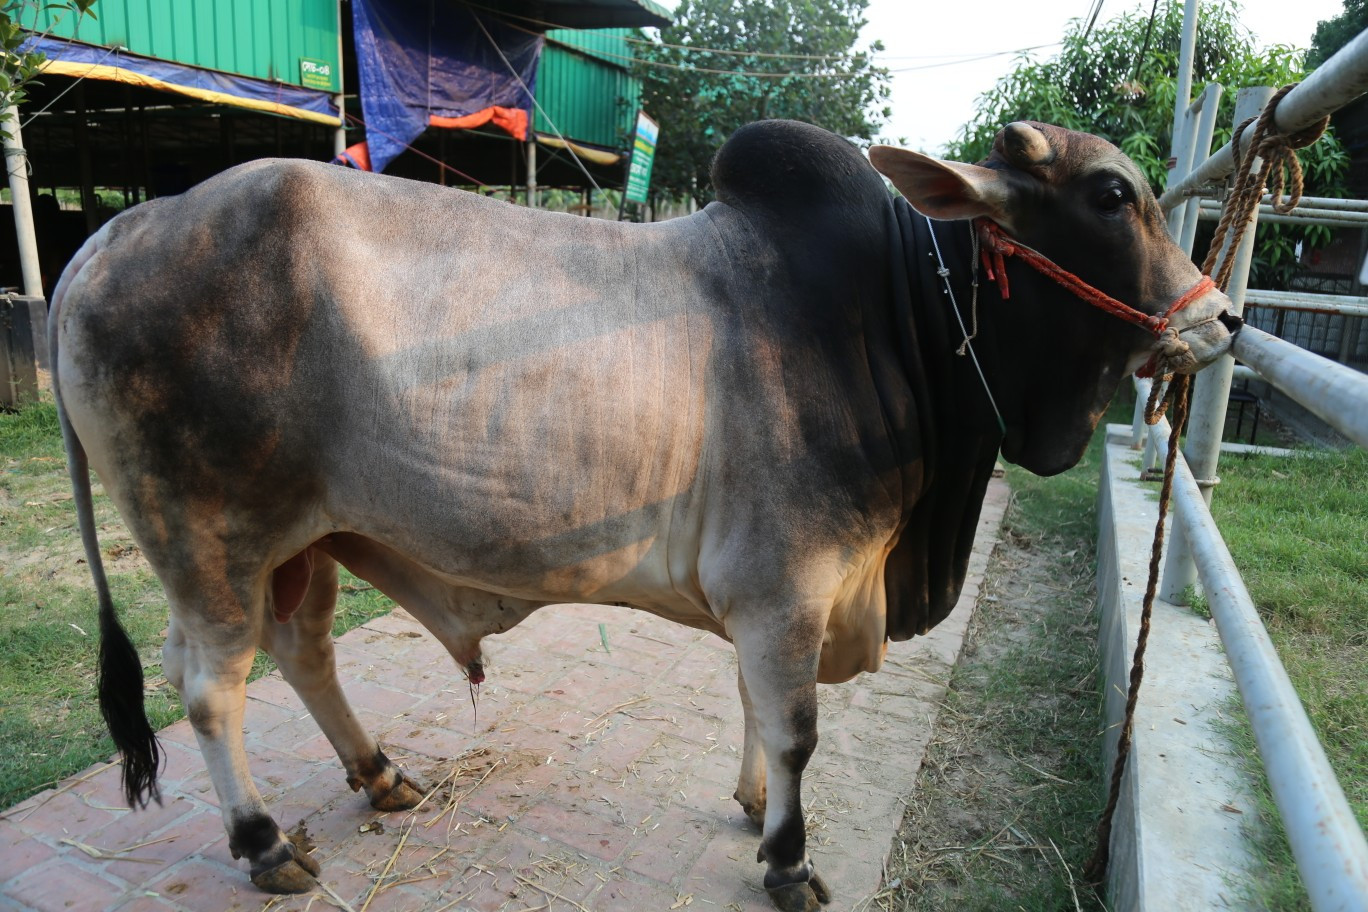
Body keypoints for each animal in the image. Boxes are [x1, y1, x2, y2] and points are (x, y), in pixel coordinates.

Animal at [50, 119, 1238, 911]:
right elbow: (797, 727)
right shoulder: (787, 586)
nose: (1223, 318)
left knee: (301, 651)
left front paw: (755, 807)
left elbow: (759, 709)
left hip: (310, 541)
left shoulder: (772, 599)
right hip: (212, 541)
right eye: (1110, 197)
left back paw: (382, 776)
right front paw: (789, 860)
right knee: (211, 691)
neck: (895, 317)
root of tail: (117, 233)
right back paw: (264, 845)